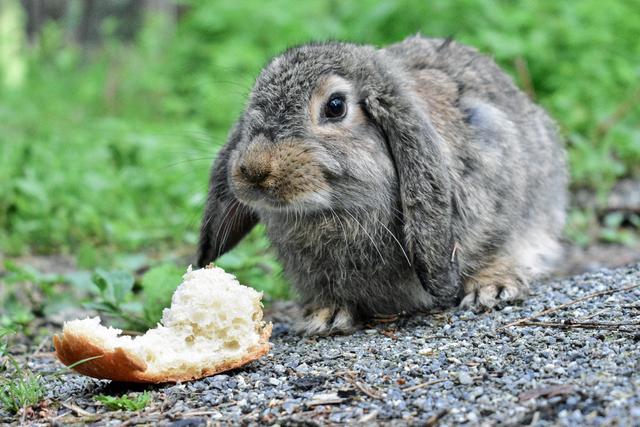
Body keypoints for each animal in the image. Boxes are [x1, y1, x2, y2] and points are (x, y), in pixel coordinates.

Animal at [197, 35, 568, 335]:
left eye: (335, 106)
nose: (254, 171)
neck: (337, 208)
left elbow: (496, 245)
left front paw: (491, 287)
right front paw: (325, 317)